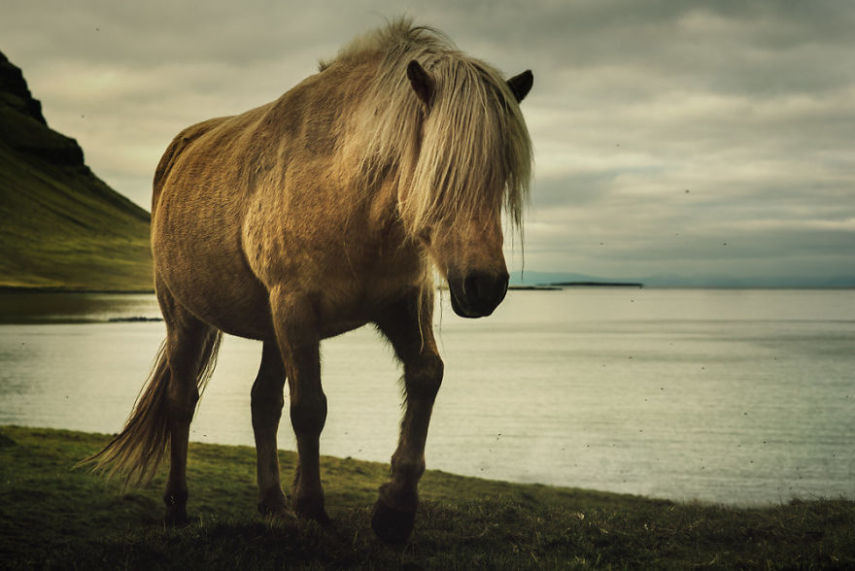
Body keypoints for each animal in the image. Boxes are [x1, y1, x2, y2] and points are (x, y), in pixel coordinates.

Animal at [85, 19, 528, 544]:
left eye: (501, 172)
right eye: (441, 171)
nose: (485, 285)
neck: (348, 194)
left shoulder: (401, 304)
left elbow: (425, 376)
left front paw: (394, 509)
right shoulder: (297, 309)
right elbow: (310, 408)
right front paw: (313, 507)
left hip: (270, 327)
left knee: (262, 402)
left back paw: (272, 503)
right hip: (186, 318)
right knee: (182, 401)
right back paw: (177, 506)